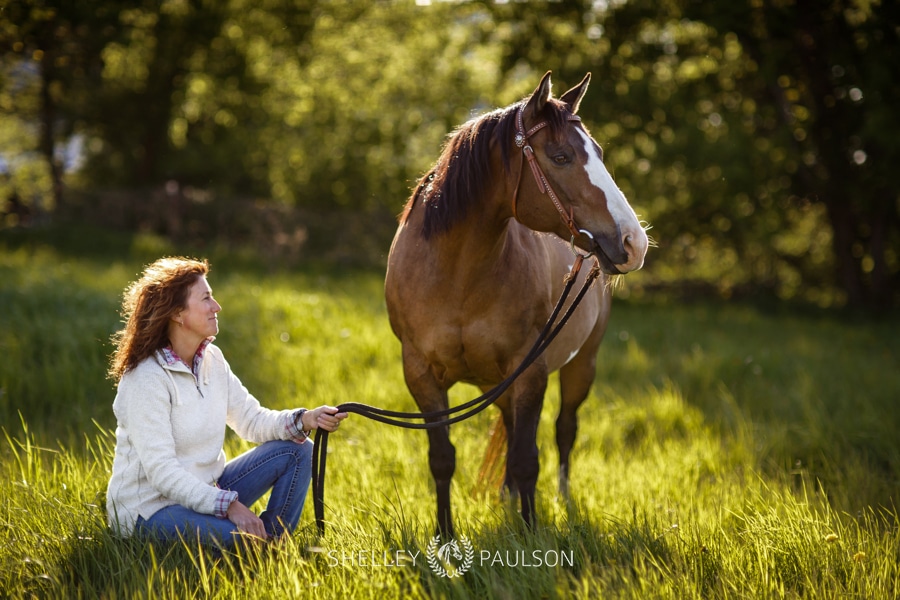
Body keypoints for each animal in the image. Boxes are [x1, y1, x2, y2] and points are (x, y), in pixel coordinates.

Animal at [384, 72, 648, 536]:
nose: (635, 243)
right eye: (560, 156)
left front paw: (530, 533)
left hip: (582, 365)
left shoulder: (531, 372)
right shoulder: (420, 375)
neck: (457, 277)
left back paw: (561, 499)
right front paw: (445, 535)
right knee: (510, 427)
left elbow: (528, 459)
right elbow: (442, 459)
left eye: (598, 154)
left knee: (564, 430)